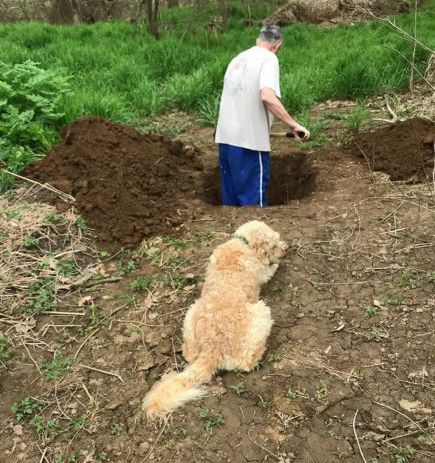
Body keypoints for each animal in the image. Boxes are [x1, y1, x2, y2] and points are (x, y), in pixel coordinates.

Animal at [141, 219, 288, 418]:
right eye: (273, 245)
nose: (285, 251)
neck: (243, 243)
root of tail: (212, 348)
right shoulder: (263, 273)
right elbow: (270, 268)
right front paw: (277, 260)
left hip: (191, 314)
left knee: (189, 354)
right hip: (262, 313)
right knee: (246, 363)